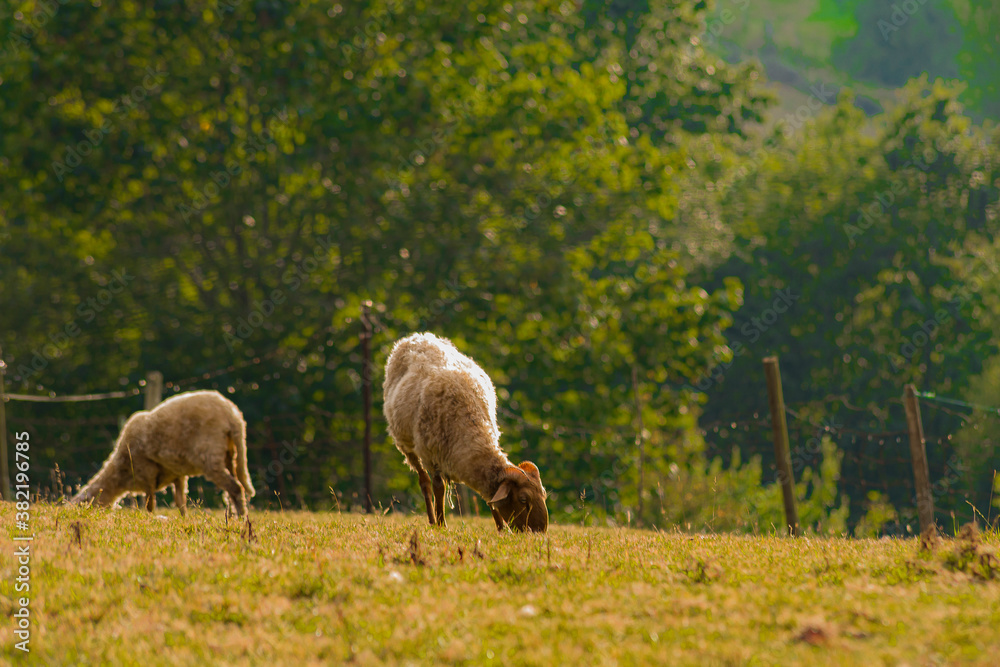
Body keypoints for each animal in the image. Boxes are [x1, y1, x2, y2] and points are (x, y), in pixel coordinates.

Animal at [70, 390, 255, 516]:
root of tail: (233, 415)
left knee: (235, 487)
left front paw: (150, 519)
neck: (120, 473)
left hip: (210, 453)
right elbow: (180, 503)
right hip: (230, 454)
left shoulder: (147, 473)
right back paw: (233, 516)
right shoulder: (178, 475)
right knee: (233, 488)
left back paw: (241, 518)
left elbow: (150, 504)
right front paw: (184, 519)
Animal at [383, 332, 548, 532]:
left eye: (543, 494)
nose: (539, 532)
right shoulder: (433, 455)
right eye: (523, 499)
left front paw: (501, 529)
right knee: (424, 482)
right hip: (406, 444)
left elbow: (490, 500)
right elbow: (439, 487)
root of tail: (417, 337)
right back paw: (432, 520)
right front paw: (441, 524)